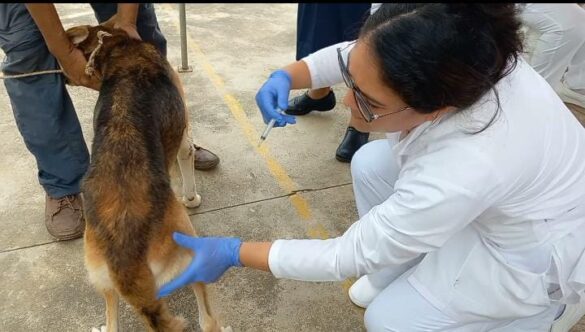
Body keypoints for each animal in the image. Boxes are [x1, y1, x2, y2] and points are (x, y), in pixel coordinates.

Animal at [64, 23, 228, 332]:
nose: (65, 76)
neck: (120, 48)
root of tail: (125, 254)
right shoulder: (184, 136)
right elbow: (187, 159)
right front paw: (192, 198)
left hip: (105, 283)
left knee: (113, 322)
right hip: (190, 257)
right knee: (208, 320)